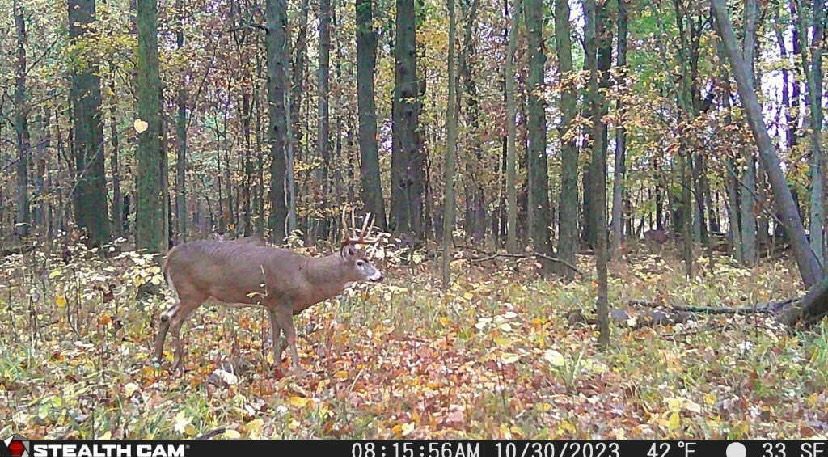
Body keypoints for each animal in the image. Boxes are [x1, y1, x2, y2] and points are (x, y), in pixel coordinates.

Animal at [152, 213, 383, 376]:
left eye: (369, 258)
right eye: (360, 262)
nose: (379, 276)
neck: (307, 276)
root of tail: (169, 257)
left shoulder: (271, 305)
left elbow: (275, 338)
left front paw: (277, 368)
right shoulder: (283, 302)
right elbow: (290, 337)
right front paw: (299, 372)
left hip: (182, 294)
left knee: (164, 316)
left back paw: (158, 359)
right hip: (192, 292)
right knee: (175, 321)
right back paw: (178, 365)